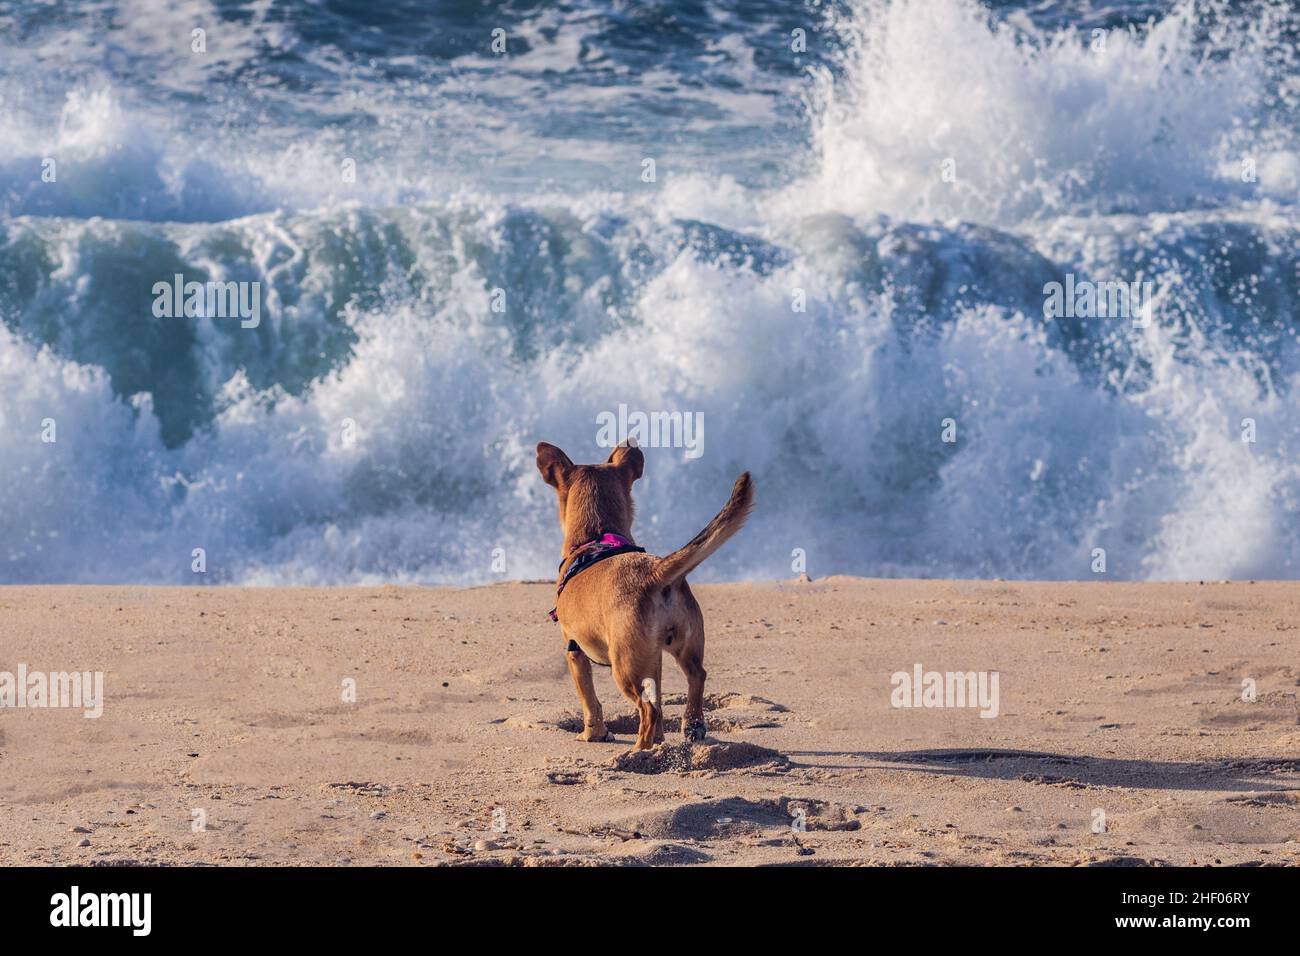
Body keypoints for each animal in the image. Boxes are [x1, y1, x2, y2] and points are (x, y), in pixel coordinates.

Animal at [535, 442, 759, 749]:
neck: (597, 536)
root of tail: (656, 572)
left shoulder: (575, 651)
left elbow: (590, 700)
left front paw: (594, 733)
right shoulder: (655, 659)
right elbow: (661, 702)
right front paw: (661, 739)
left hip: (625, 667)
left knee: (647, 709)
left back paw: (639, 751)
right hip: (681, 646)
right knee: (695, 677)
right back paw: (691, 725)